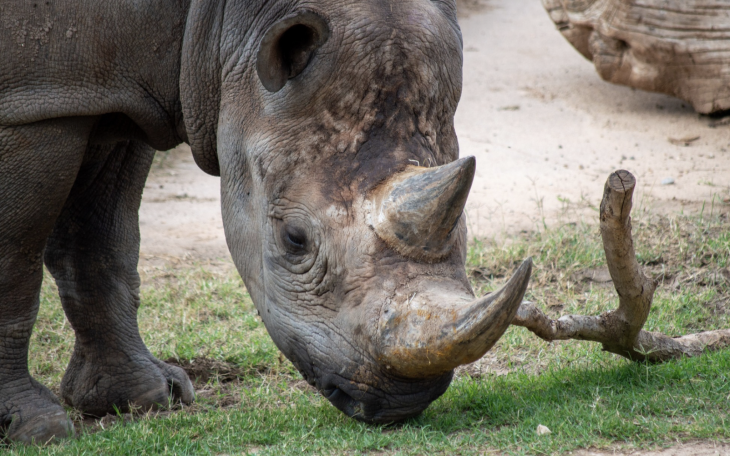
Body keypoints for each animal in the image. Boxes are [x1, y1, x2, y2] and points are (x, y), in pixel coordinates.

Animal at [0, 0, 531, 444]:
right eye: (294, 239)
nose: (404, 401)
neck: (227, 21)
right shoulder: (33, 105)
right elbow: (15, 260)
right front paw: (37, 429)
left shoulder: (113, 94)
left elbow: (102, 243)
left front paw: (143, 397)